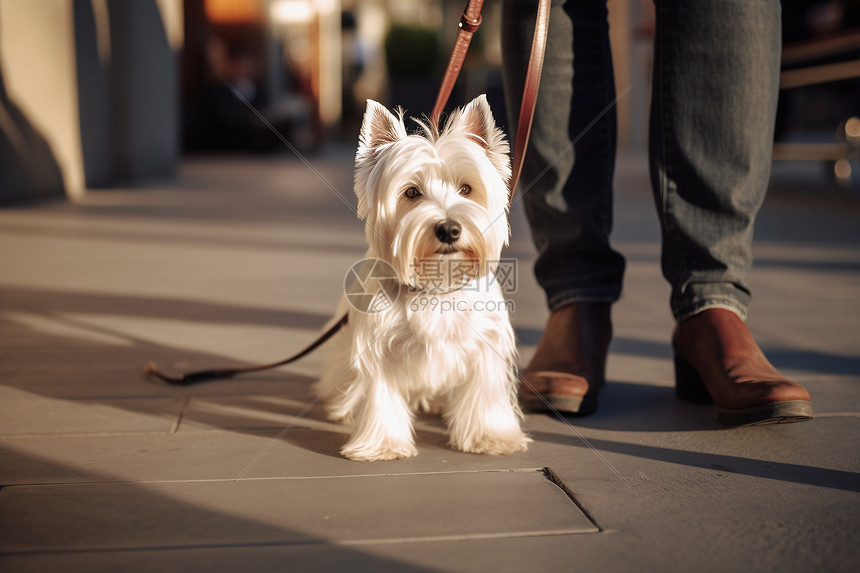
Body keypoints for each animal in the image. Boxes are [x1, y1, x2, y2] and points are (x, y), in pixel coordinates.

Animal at [318, 95, 532, 460]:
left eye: (466, 188)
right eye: (411, 193)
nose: (448, 229)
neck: (438, 285)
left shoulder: (484, 347)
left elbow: (484, 394)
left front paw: (491, 437)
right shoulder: (379, 350)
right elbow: (381, 396)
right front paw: (383, 445)